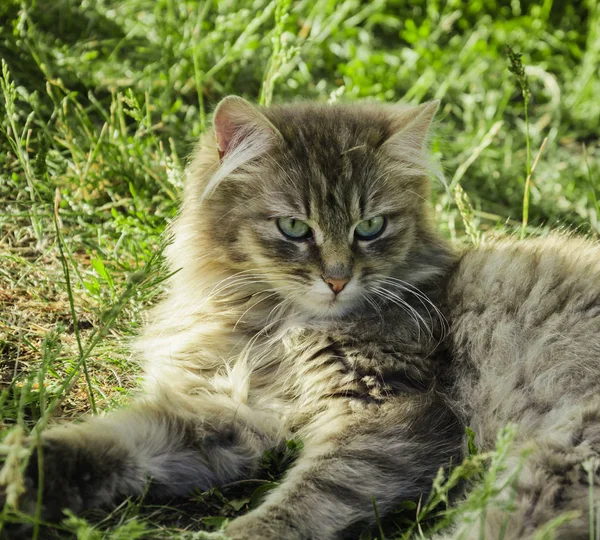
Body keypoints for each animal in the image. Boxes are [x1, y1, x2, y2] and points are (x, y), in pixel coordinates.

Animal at [1, 98, 600, 540]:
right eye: (294, 227)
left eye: (370, 227)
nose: (336, 279)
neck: (269, 323)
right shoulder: (230, 406)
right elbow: (114, 442)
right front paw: (25, 475)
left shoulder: (387, 411)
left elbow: (307, 499)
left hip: (555, 466)